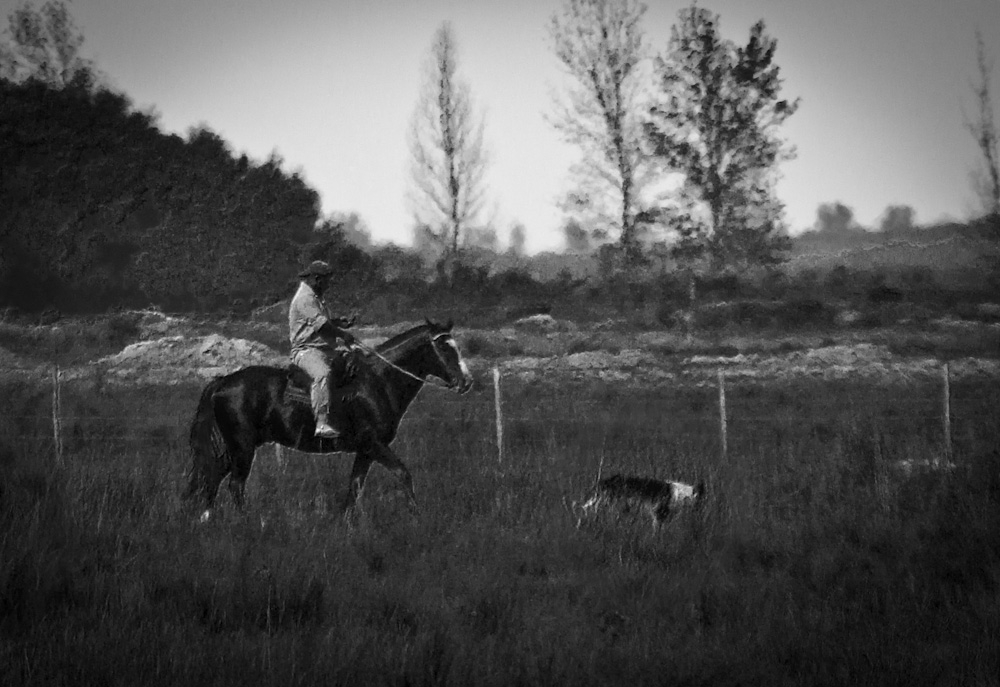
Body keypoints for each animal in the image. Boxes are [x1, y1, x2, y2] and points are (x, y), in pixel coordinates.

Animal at [184, 322, 472, 520]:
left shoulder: (366, 451)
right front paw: (416, 515)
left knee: (211, 479)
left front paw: (347, 524)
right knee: (234, 484)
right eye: (444, 347)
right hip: (242, 448)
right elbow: (403, 474)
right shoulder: (374, 444)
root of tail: (222, 381)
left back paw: (206, 519)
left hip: (230, 449)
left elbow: (354, 487)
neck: (378, 381)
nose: (467, 381)